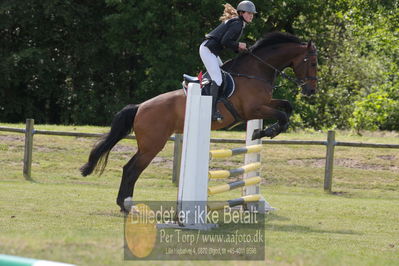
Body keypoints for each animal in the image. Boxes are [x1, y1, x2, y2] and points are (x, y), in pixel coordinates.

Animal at [80, 31, 318, 212]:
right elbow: (283, 116)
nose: (311, 91)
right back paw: (125, 205)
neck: (256, 72)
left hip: (150, 144)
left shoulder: (266, 103)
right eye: (313, 62)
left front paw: (261, 132)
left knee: (131, 168)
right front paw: (264, 132)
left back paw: (125, 204)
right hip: (152, 145)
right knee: (131, 169)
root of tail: (140, 107)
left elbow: (287, 106)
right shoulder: (253, 109)